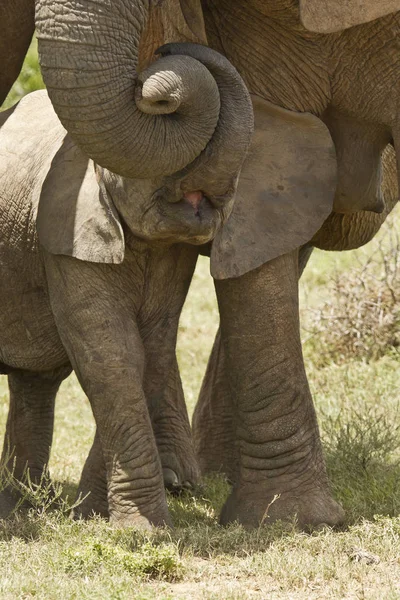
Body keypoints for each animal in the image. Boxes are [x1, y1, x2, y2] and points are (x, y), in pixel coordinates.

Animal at [0, 44, 252, 528]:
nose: (166, 49)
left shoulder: (173, 251)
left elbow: (149, 348)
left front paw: (94, 513)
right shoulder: (65, 233)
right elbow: (111, 352)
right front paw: (142, 530)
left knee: (34, 382)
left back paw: (18, 504)